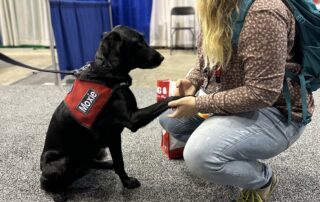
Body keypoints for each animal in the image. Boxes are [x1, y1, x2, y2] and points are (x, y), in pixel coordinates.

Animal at [39, 25, 179, 193]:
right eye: (138, 42)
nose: (161, 57)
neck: (107, 68)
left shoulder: (114, 135)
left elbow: (118, 162)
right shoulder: (131, 120)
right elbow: (167, 100)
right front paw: (127, 183)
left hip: (96, 149)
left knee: (89, 163)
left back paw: (104, 164)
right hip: (64, 161)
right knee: (51, 184)